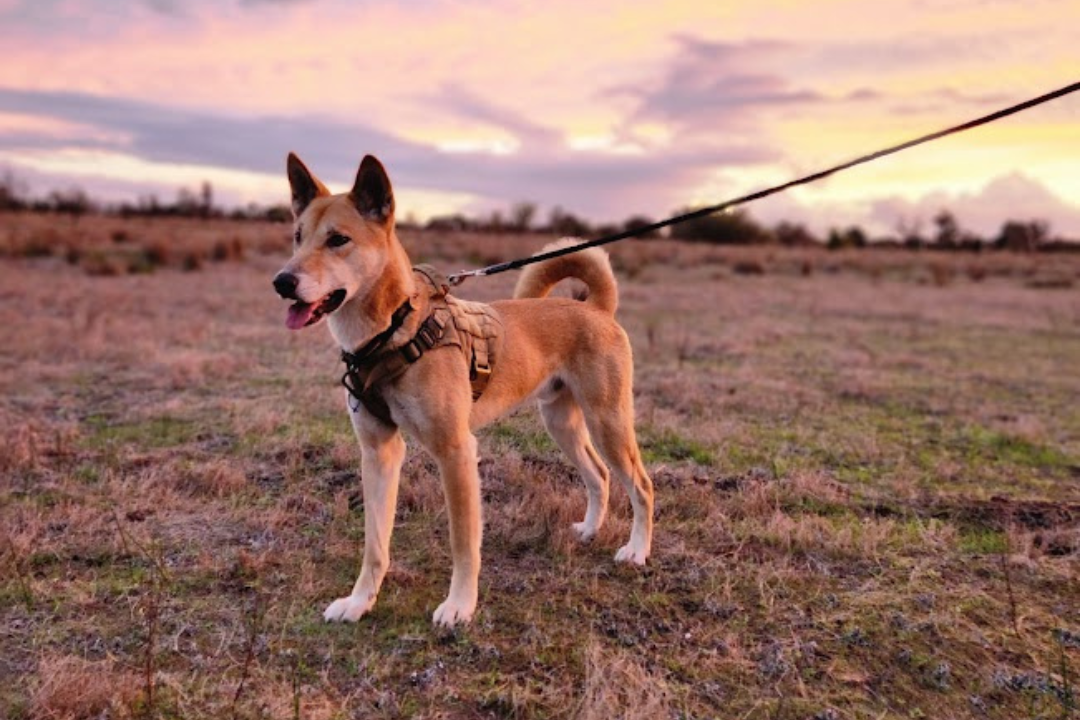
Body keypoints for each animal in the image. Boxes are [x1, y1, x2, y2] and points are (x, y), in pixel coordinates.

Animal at [274, 155, 652, 626]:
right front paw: (359, 602)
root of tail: (596, 308)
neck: (393, 332)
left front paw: (459, 606)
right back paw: (588, 529)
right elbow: (375, 544)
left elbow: (463, 541)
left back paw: (637, 550)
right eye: (298, 236)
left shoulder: (455, 451)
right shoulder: (378, 452)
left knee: (641, 485)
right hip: (561, 422)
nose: (282, 282)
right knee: (598, 474)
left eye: (338, 239)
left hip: (608, 422)